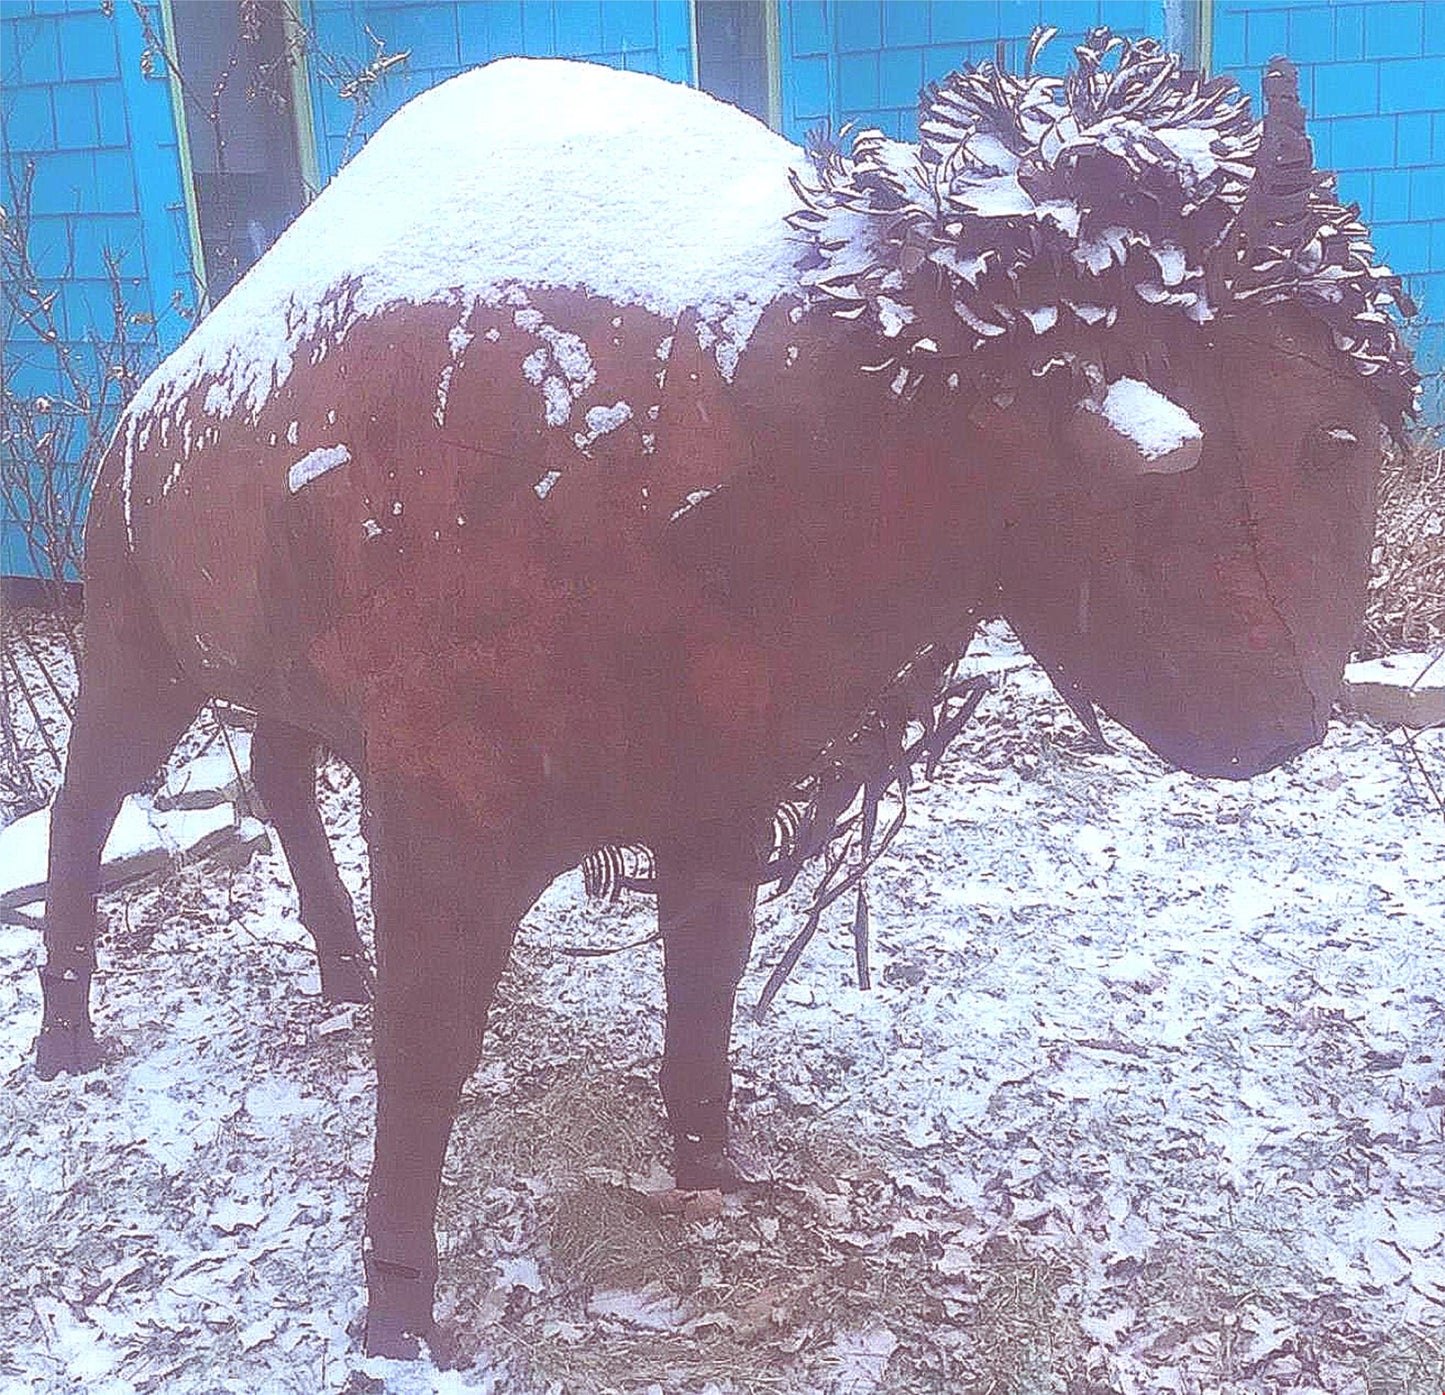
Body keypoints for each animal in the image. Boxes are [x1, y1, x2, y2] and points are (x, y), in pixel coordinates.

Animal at [35, 34, 1414, 1357]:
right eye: (1324, 439)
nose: (1286, 723)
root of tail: (149, 408)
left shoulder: (714, 802)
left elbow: (703, 984)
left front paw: (711, 1170)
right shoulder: (447, 825)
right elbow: (428, 1056)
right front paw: (397, 1317)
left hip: (278, 683)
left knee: (275, 775)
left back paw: (337, 969)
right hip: (135, 655)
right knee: (84, 810)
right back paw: (67, 1041)